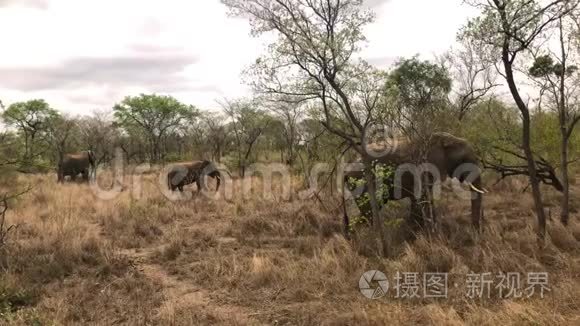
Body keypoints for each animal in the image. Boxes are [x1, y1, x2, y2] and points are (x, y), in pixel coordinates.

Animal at [342, 133, 488, 237]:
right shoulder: (421, 168)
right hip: (361, 180)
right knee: (368, 210)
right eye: (464, 160)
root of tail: (346, 168)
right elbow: (422, 198)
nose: (477, 231)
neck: (446, 138)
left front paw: (415, 230)